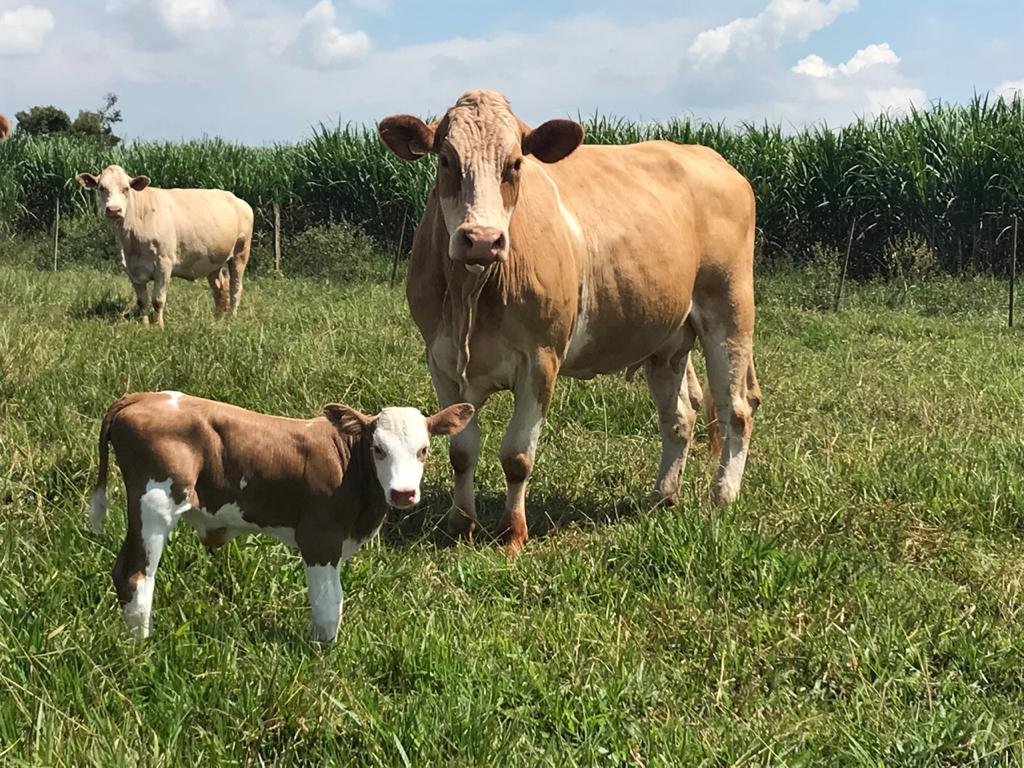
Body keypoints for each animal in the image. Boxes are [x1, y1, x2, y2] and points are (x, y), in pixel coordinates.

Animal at [75, 165, 254, 327]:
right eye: (101, 188)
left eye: (126, 188)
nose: (113, 210)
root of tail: (238, 199)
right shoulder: (131, 268)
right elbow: (142, 301)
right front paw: (145, 325)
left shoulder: (164, 263)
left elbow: (157, 299)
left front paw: (159, 326)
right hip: (212, 260)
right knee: (219, 289)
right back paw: (217, 319)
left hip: (240, 253)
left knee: (235, 287)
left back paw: (232, 317)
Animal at [88, 391, 475, 642]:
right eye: (378, 449)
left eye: (423, 450)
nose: (403, 493)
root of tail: (140, 397)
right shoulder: (319, 537)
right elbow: (328, 605)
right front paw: (323, 655)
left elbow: (335, 598)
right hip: (155, 503)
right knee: (135, 575)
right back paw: (142, 649)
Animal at [378, 90, 761, 554]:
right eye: (447, 160)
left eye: (515, 164)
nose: (482, 240)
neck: (473, 296)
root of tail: (711, 157)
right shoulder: (441, 360)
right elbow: (461, 451)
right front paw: (461, 526)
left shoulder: (542, 360)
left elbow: (517, 455)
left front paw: (512, 533)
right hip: (667, 338)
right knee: (680, 417)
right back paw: (662, 496)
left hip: (730, 310)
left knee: (735, 408)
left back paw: (723, 497)